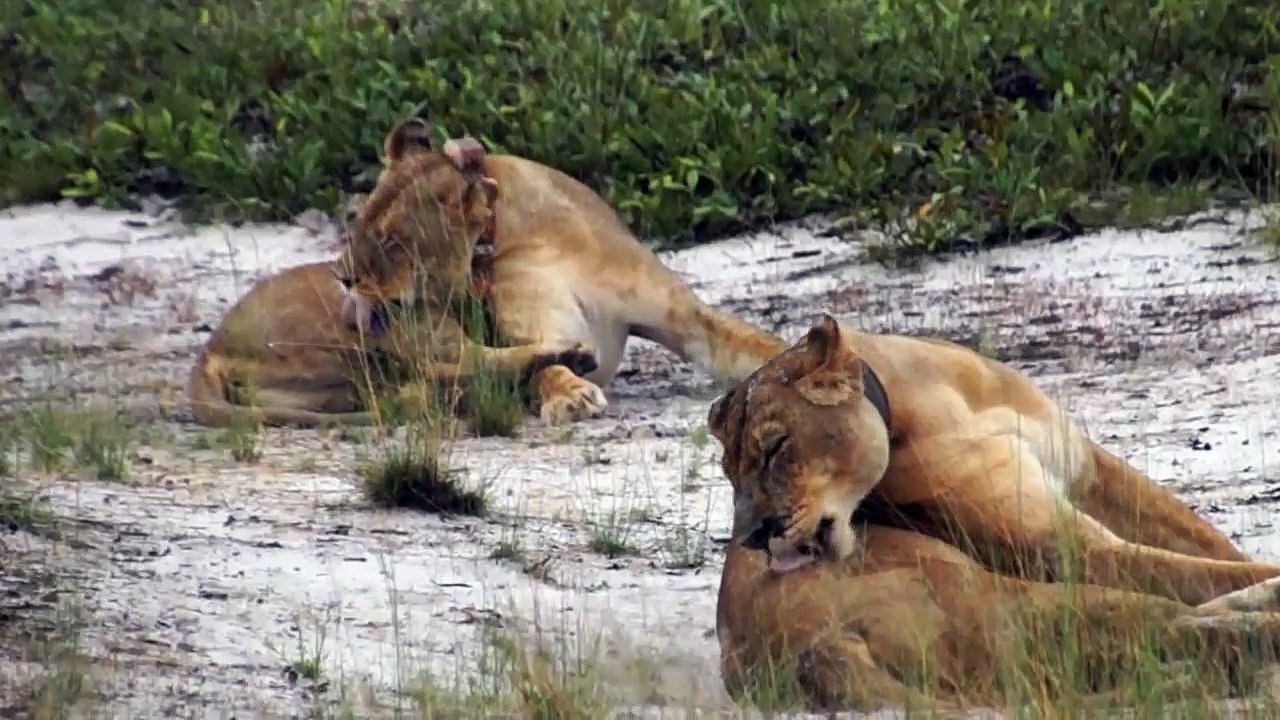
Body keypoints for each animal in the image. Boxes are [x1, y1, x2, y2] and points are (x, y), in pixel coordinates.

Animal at [186, 148, 600, 428]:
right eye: (360, 226)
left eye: (391, 240)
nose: (343, 278)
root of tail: (209, 351)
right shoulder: (438, 341)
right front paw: (571, 360)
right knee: (450, 373)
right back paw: (574, 353)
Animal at [335, 119, 788, 426]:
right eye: (358, 224)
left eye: (392, 241)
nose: (341, 278)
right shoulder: (531, 328)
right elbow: (540, 367)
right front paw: (569, 396)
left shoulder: (682, 315)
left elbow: (761, 346)